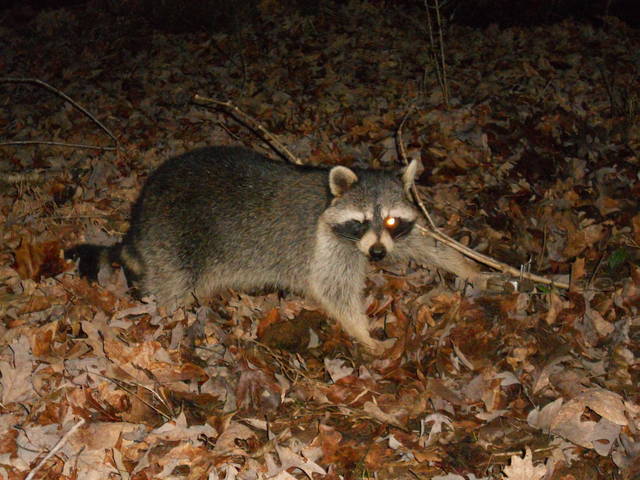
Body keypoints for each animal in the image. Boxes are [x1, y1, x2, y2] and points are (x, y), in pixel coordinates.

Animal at [67, 146, 483, 354]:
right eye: (361, 221)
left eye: (393, 221)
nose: (379, 256)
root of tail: (140, 214)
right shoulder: (327, 245)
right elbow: (335, 290)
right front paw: (364, 333)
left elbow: (423, 243)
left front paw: (466, 266)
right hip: (171, 237)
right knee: (170, 287)